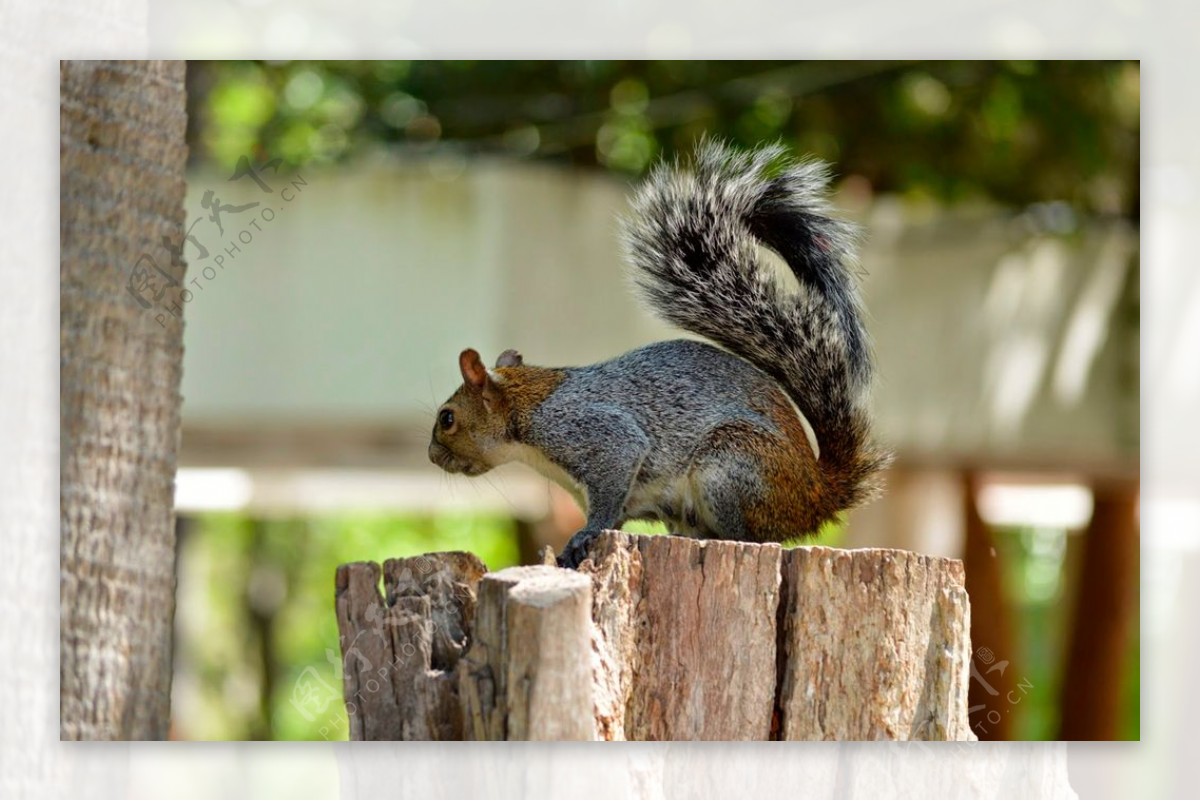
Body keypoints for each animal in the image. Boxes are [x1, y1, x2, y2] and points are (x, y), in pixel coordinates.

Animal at [429, 143, 892, 568]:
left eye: (447, 418)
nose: (433, 457)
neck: (525, 408)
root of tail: (816, 493)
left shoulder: (592, 433)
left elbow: (612, 486)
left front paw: (585, 535)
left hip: (734, 467)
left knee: (756, 537)